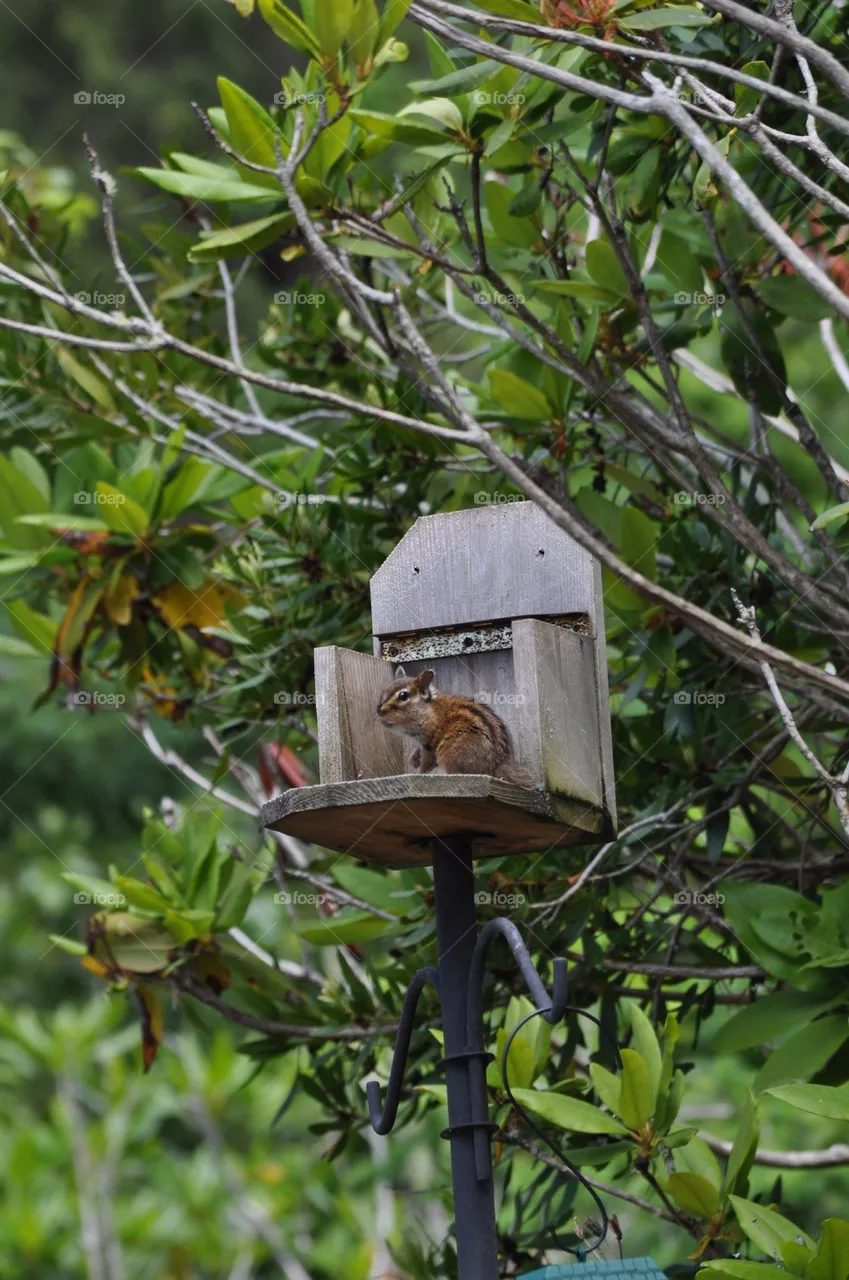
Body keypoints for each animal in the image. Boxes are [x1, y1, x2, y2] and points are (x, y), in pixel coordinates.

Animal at [376, 667, 533, 787]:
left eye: (403, 696)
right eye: (384, 691)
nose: (378, 711)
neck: (429, 710)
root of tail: (498, 765)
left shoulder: (429, 744)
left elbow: (426, 764)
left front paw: (417, 773)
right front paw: (413, 759)